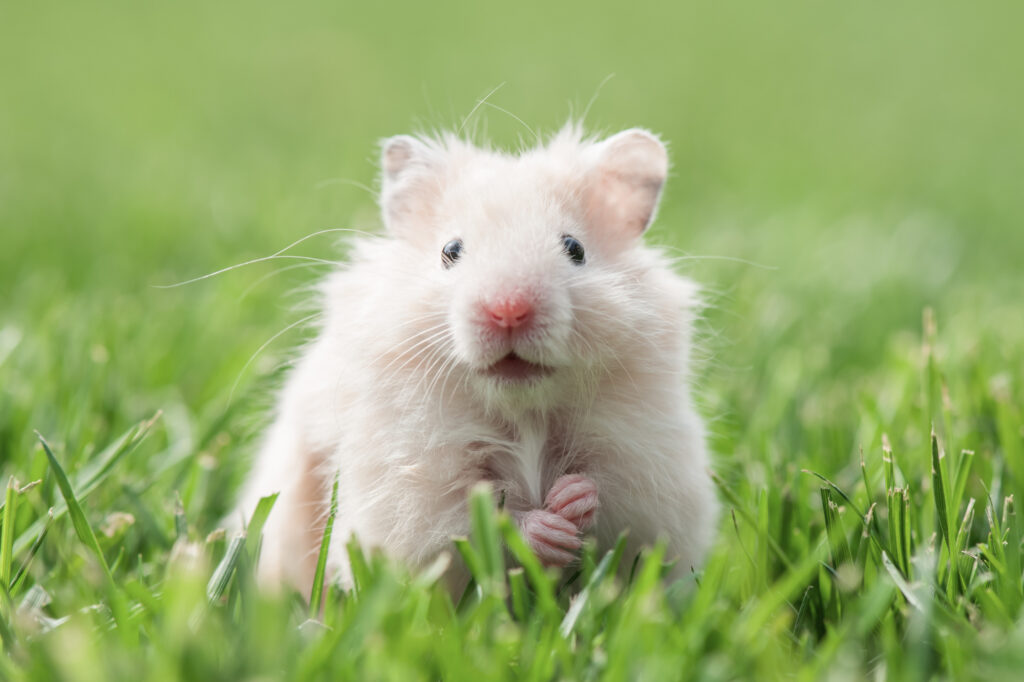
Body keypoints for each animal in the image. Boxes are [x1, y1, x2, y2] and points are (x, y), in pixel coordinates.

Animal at [235, 124, 719, 596]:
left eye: (575, 248)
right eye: (451, 250)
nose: (509, 309)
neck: (523, 409)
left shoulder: (650, 471)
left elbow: (612, 498)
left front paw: (571, 499)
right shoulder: (411, 491)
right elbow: (476, 520)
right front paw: (547, 530)